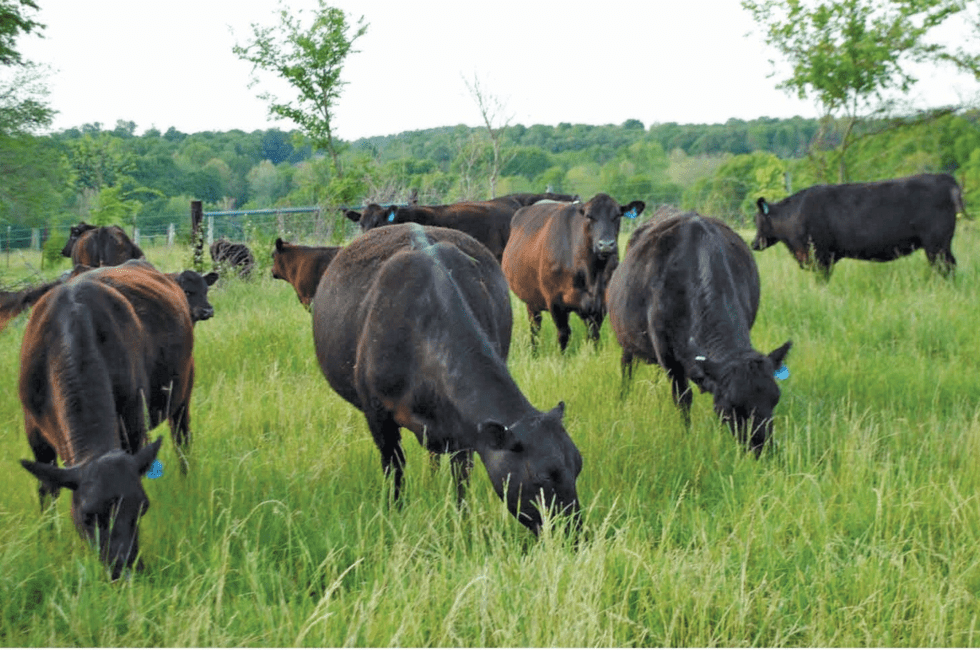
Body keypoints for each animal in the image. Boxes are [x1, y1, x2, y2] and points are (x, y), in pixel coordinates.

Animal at [312, 223, 580, 532]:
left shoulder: (464, 429)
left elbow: (461, 476)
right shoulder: (377, 415)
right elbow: (394, 468)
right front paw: (395, 512)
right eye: (541, 478)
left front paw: (462, 518)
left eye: (579, 466)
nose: (573, 533)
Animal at [502, 191, 648, 350]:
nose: (606, 245)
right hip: (530, 298)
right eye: (589, 216)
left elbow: (593, 335)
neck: (592, 274)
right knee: (535, 327)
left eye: (617, 215)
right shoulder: (555, 301)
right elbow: (563, 334)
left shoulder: (601, 304)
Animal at [608, 210, 792, 454]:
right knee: (626, 368)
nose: (761, 448)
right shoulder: (669, 359)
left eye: (775, 399)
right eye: (730, 407)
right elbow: (683, 399)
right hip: (626, 341)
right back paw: (622, 397)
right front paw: (687, 436)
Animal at [756, 172, 960, 276]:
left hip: (936, 244)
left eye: (757, 220)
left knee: (945, 267)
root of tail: (945, 178)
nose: (753, 244)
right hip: (941, 244)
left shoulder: (820, 256)